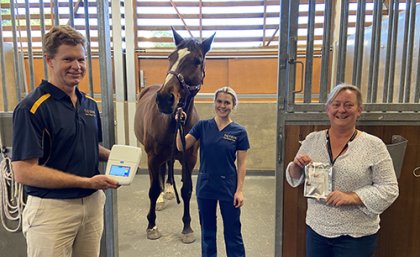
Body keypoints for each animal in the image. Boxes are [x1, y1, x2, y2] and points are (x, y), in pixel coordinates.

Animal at [134, 28, 215, 242]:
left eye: (197, 60)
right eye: (170, 57)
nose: (164, 98)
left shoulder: (190, 158)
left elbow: (186, 191)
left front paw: (187, 227)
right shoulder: (153, 157)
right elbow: (153, 190)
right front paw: (152, 226)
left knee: (169, 168)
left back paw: (169, 190)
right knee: (159, 177)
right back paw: (162, 197)